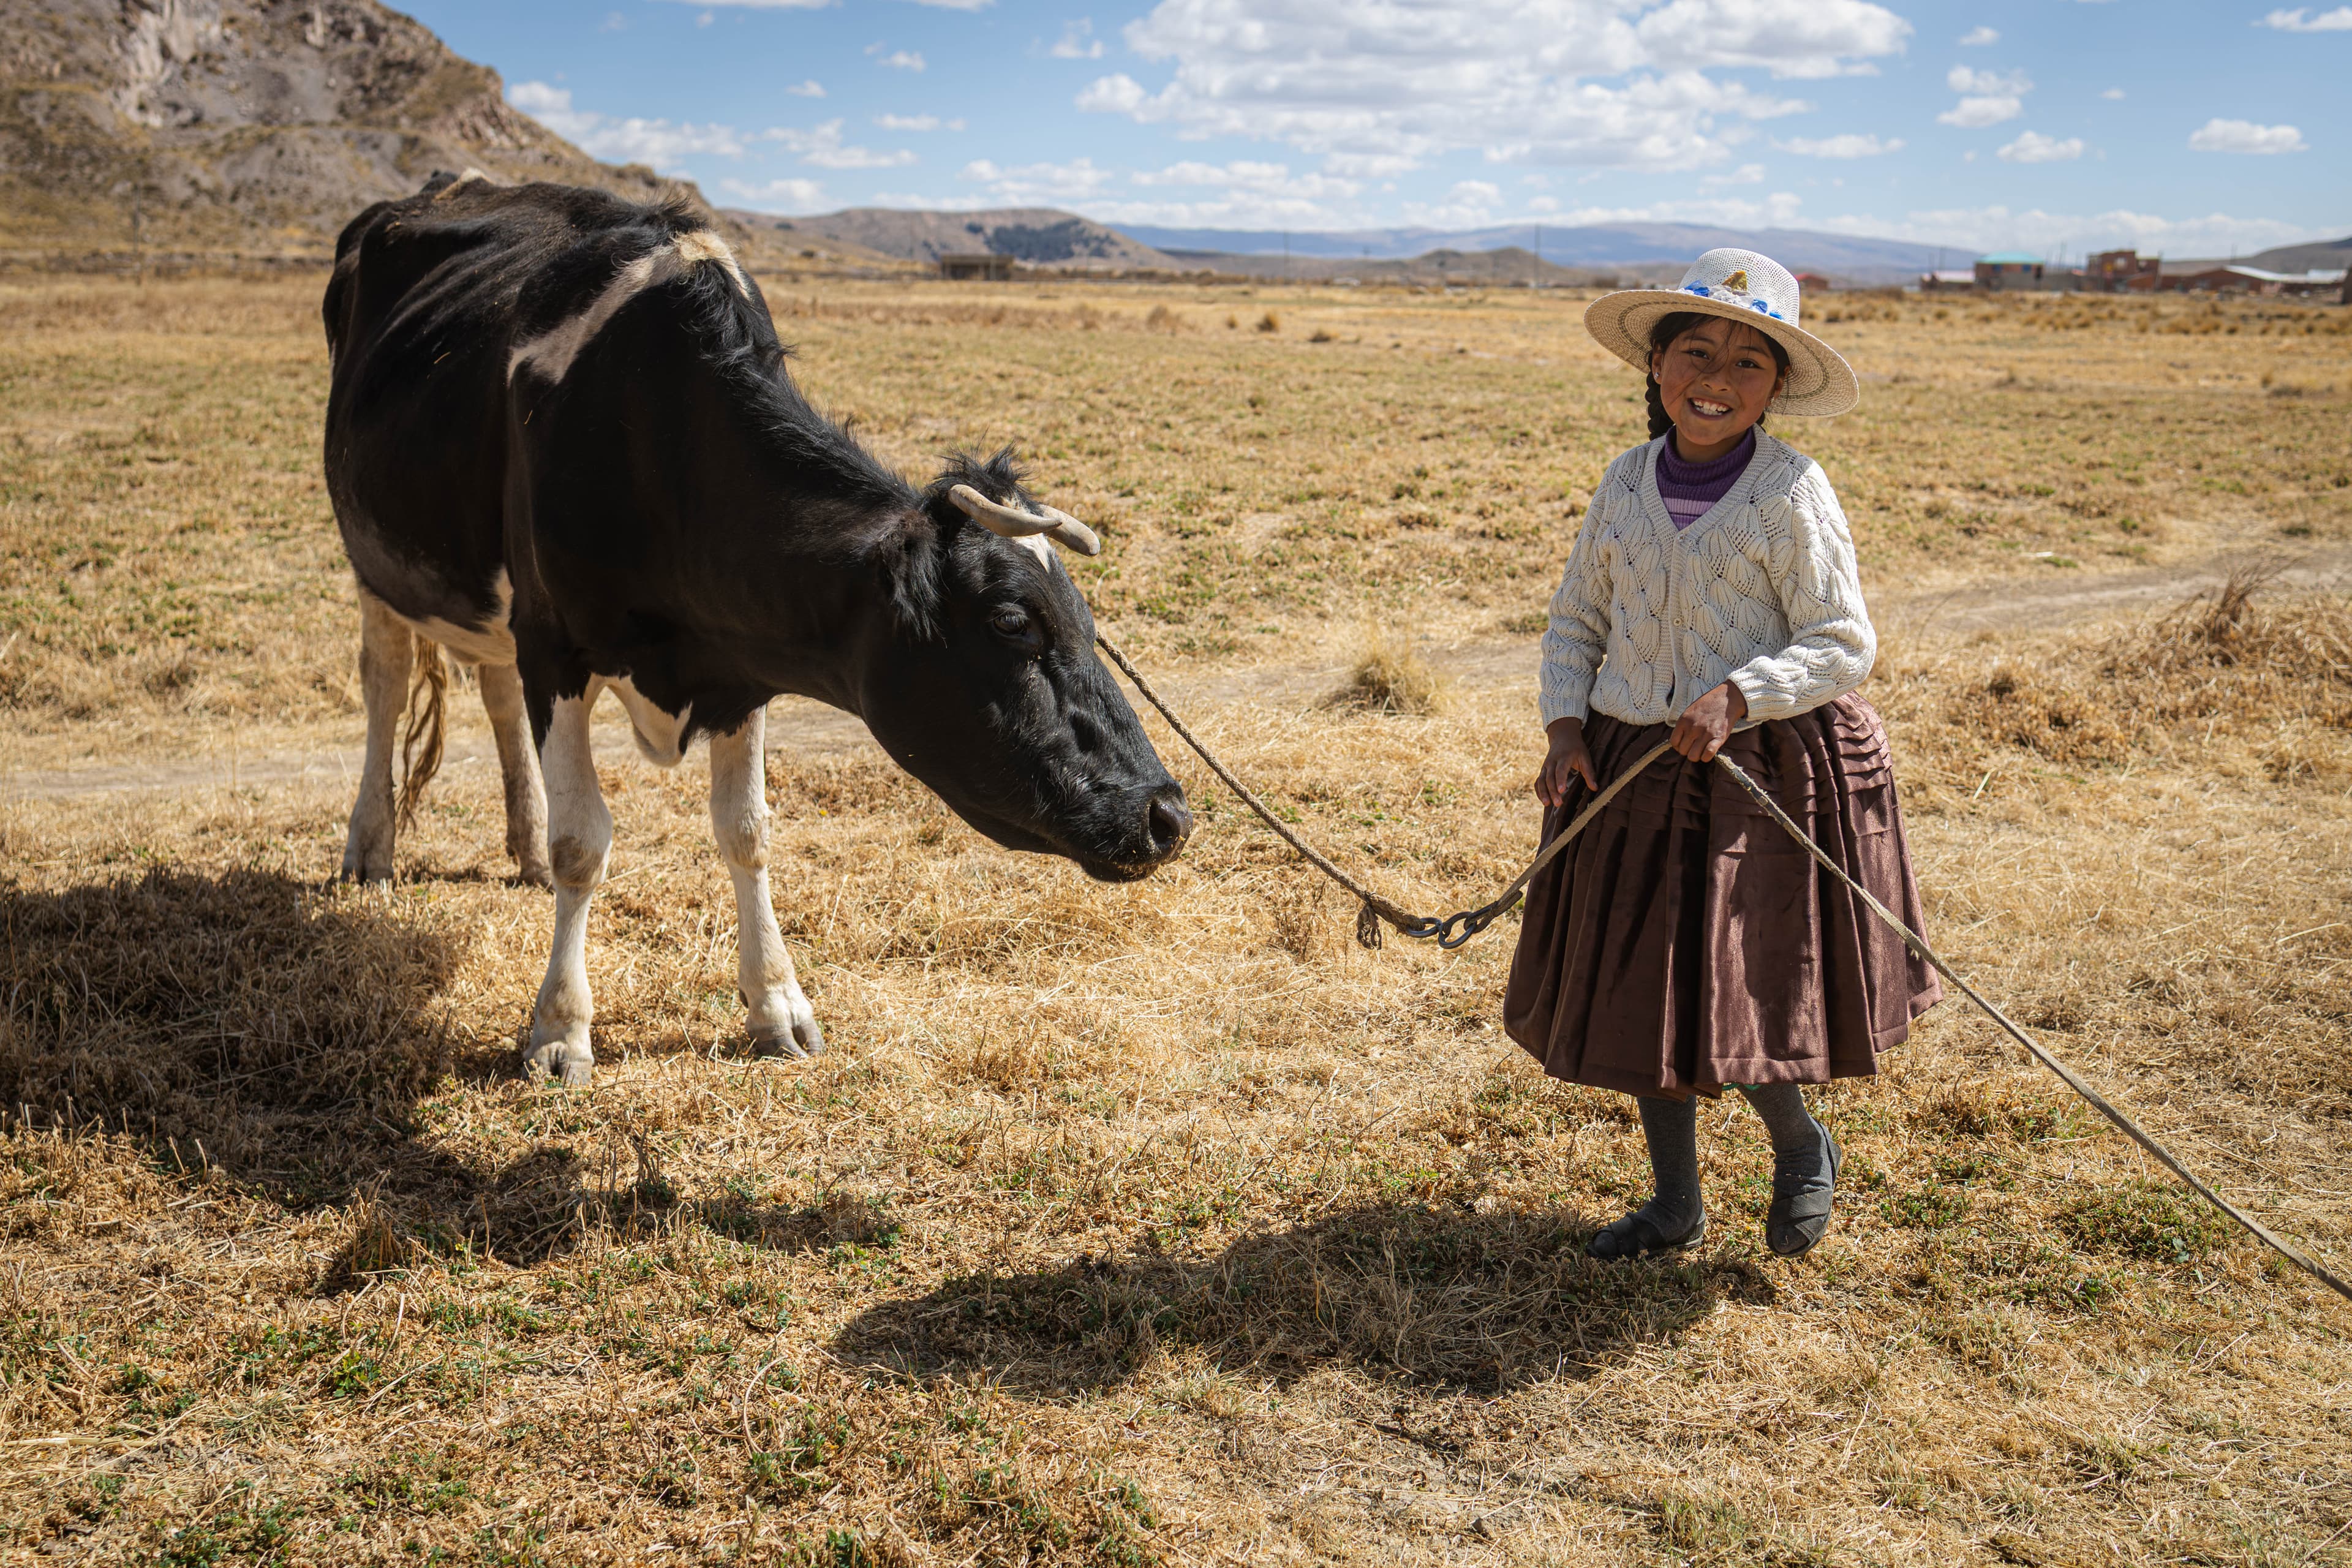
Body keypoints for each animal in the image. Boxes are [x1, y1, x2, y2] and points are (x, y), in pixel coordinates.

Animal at [321, 173, 1192, 1086]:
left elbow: (748, 833)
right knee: (386, 684)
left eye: (1086, 621)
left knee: (492, 690)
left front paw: (778, 1006)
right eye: (1014, 621)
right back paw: (372, 851)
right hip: (373, 557)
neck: (654, 435)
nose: (1168, 813)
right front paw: (559, 1030)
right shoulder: (554, 645)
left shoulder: (742, 665)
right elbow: (582, 843)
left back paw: (517, 847)